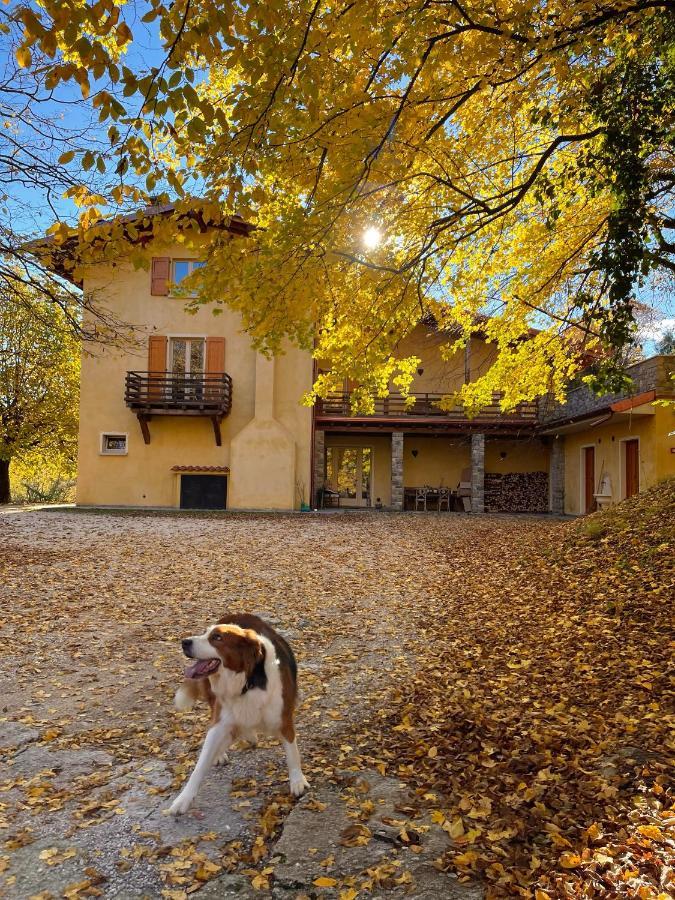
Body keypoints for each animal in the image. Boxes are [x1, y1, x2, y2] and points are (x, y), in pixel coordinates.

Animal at [169, 612, 308, 816]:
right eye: (205, 633)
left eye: (217, 638)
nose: (184, 642)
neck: (247, 682)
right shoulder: (220, 721)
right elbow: (200, 765)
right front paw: (183, 799)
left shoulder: (284, 720)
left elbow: (292, 754)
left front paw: (297, 781)